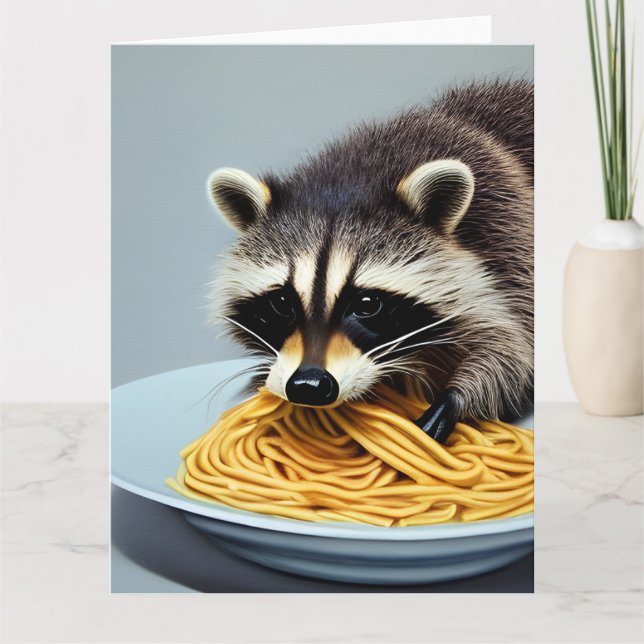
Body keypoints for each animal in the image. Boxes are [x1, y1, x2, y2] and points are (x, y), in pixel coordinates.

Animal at [207, 79, 533, 443]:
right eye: (281, 302)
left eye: (367, 304)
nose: (308, 385)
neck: (353, 178)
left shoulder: (508, 237)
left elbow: (510, 347)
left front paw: (455, 399)